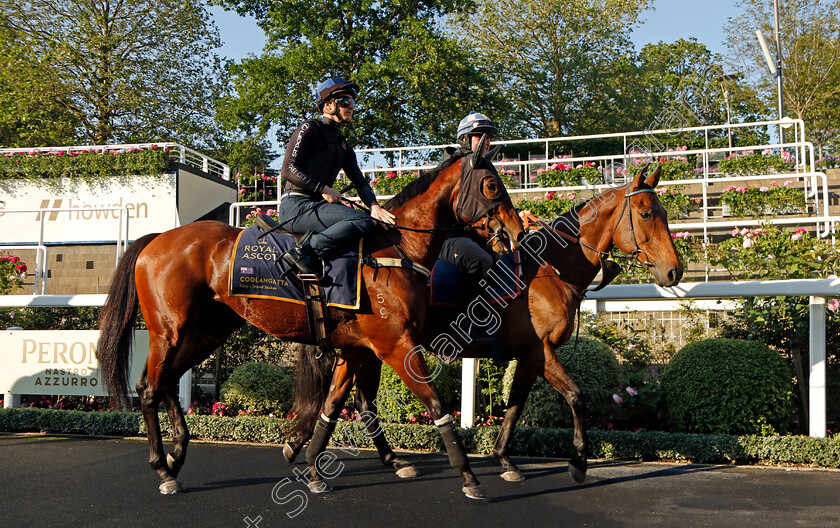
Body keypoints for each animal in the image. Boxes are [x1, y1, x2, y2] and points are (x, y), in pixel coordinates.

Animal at [98, 146, 524, 498]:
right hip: (168, 330)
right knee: (149, 388)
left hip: (207, 331)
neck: (395, 250)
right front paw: (468, 476)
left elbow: (336, 407)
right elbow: (434, 404)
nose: (518, 232)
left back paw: (177, 455)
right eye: (491, 185)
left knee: (166, 381)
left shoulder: (358, 348)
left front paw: (314, 464)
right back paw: (162, 469)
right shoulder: (395, 344)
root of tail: (157, 238)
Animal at [282, 165, 684, 490]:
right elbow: (575, 396)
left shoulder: (529, 356)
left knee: (357, 400)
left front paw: (504, 458)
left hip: (371, 347)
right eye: (646, 213)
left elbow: (515, 405)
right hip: (386, 345)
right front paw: (578, 464)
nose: (674, 272)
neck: (549, 269)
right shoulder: (538, 350)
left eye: (664, 212)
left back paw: (310, 448)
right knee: (362, 400)